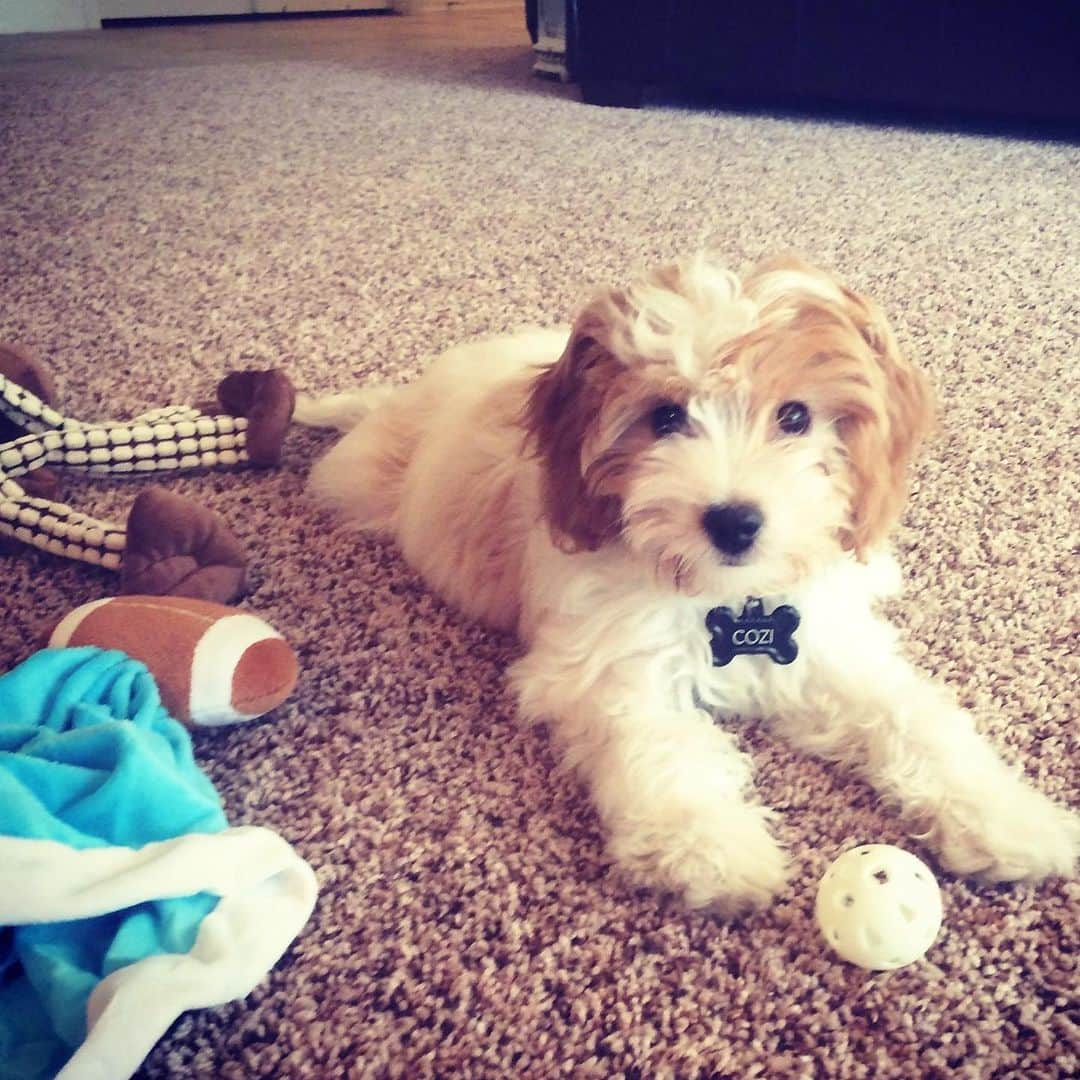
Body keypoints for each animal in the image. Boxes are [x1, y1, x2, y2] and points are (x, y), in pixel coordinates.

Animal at [298, 252, 1080, 911]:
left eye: (795, 415)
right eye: (666, 417)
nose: (734, 521)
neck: (725, 597)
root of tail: (406, 396)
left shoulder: (830, 647)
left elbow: (918, 720)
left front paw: (1011, 818)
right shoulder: (604, 668)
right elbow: (665, 748)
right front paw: (712, 848)